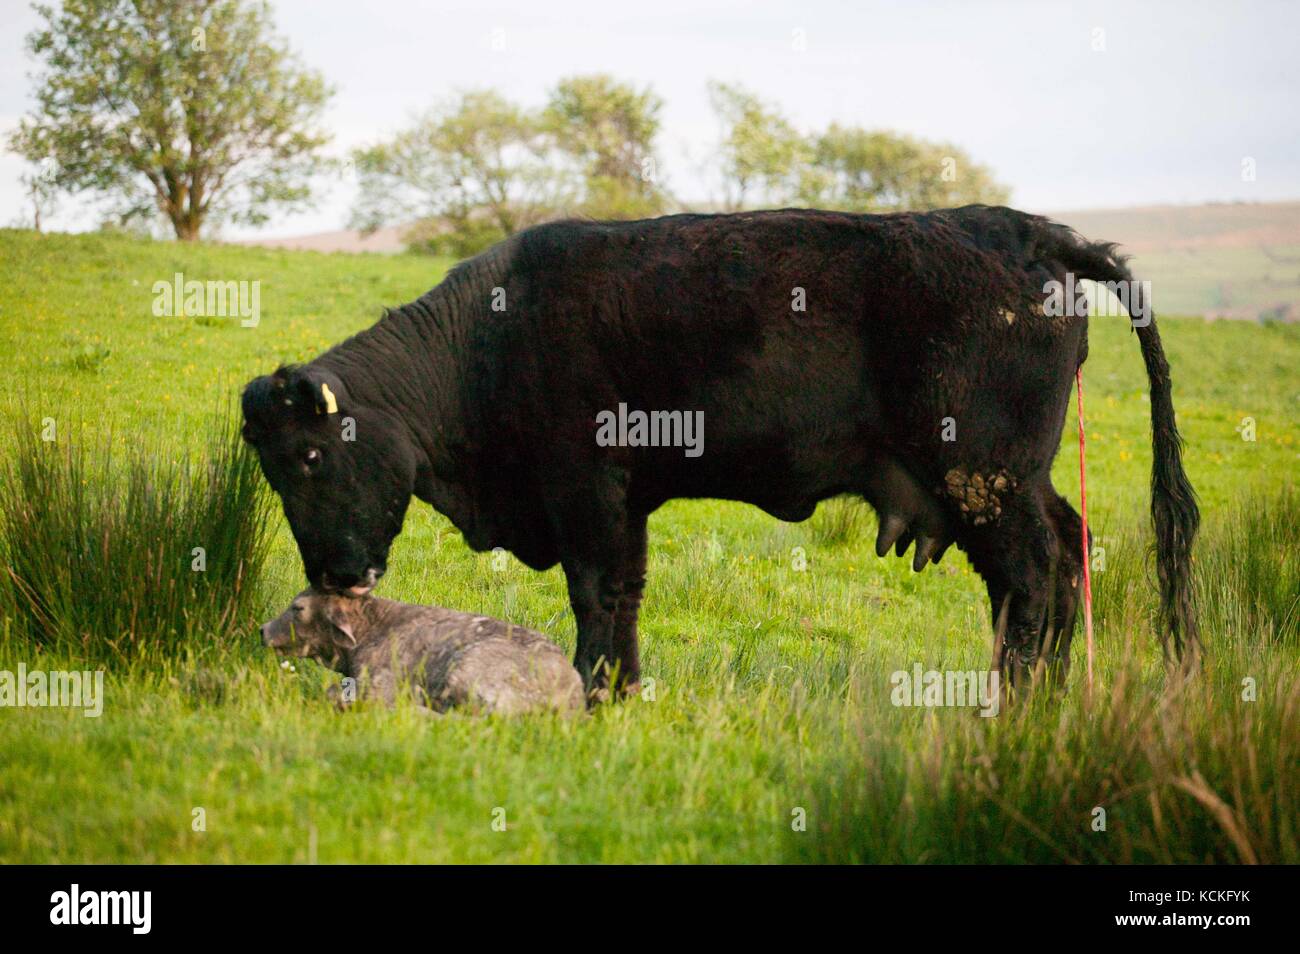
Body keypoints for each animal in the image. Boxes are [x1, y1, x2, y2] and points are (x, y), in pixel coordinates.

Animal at [244, 209, 1196, 696]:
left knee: (1031, 577)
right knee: (1062, 558)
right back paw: (1048, 701)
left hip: (985, 480)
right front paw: (621, 689)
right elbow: (625, 596)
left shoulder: (586, 490)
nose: (336, 574)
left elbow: (595, 593)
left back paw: (1015, 703)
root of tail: (1028, 232)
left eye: (312, 458)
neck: (488, 333)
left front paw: (592, 687)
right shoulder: (626, 503)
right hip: (1017, 483)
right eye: (274, 469)